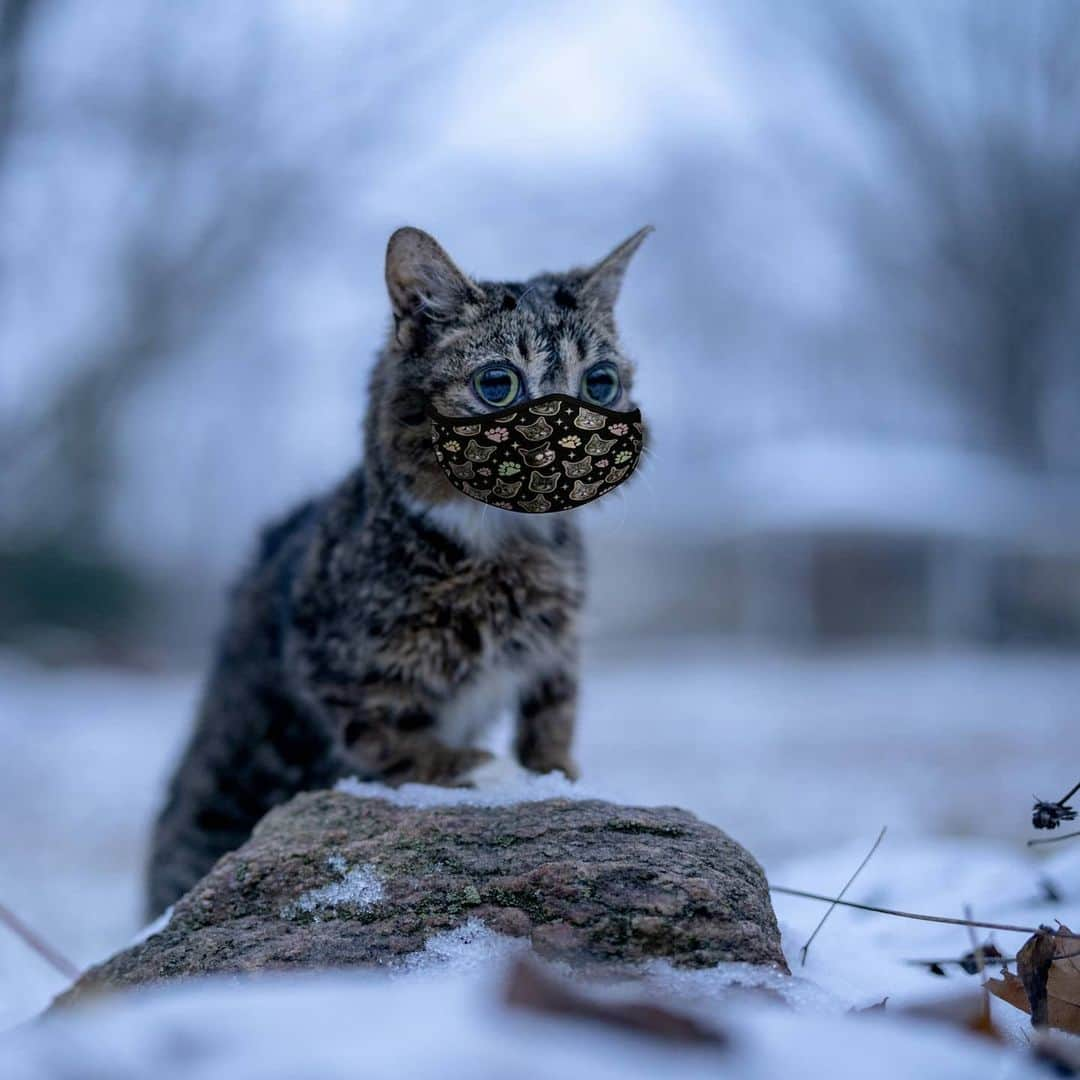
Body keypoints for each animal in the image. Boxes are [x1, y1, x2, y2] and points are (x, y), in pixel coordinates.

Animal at [143, 223, 648, 915]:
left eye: (599, 382)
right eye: (499, 384)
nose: (573, 442)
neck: (505, 548)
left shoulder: (559, 640)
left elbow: (555, 708)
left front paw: (555, 774)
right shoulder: (336, 672)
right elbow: (394, 742)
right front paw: (490, 771)